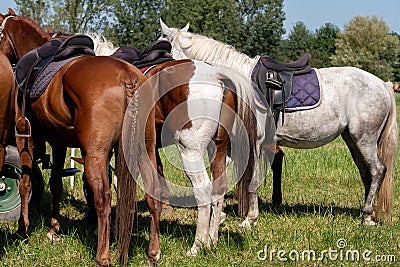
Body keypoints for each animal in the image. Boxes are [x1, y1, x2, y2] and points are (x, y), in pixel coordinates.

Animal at [0, 8, 158, 267]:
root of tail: (128, 77)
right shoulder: (59, 143)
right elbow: (55, 183)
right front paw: (54, 228)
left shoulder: (26, 137)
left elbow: (25, 183)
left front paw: (22, 229)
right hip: (145, 150)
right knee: (154, 195)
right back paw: (153, 253)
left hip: (95, 155)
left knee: (103, 198)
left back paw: (102, 256)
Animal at [159, 19, 396, 227]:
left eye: (161, 51)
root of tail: (383, 85)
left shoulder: (254, 141)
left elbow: (252, 178)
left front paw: (250, 219)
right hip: (353, 140)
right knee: (366, 173)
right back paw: (367, 213)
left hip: (364, 140)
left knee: (377, 171)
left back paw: (367, 217)